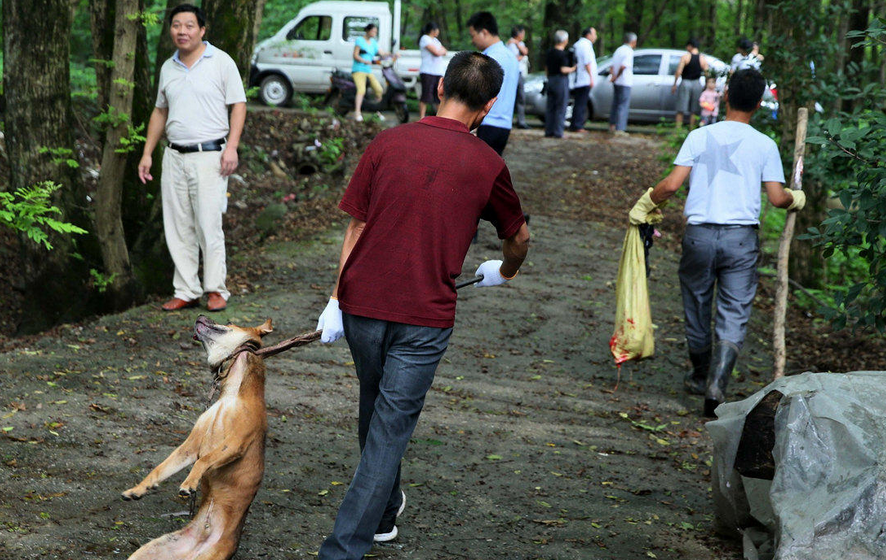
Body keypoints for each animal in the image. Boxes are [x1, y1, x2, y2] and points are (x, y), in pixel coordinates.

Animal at [123, 316, 272, 560]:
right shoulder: (190, 447)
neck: (232, 392)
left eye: (229, 322)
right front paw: (138, 489)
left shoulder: (235, 443)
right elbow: (160, 469)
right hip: (145, 553)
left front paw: (189, 483)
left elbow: (204, 461)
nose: (200, 317)